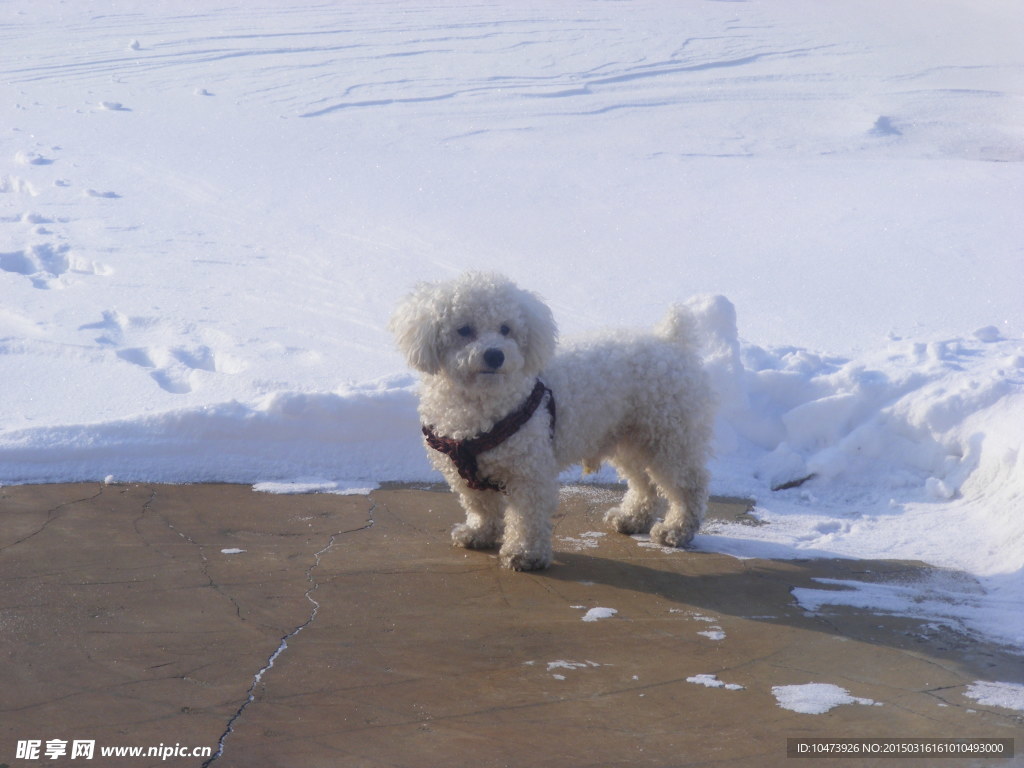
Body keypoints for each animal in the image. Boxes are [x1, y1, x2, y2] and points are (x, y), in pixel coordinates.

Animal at [387, 272, 716, 573]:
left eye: (506, 328)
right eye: (464, 330)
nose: (495, 355)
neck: (482, 403)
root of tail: (669, 340)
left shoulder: (529, 471)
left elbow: (527, 516)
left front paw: (524, 554)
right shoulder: (464, 472)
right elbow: (480, 505)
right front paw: (479, 533)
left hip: (667, 436)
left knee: (688, 485)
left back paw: (676, 530)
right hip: (628, 438)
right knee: (644, 484)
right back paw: (632, 518)